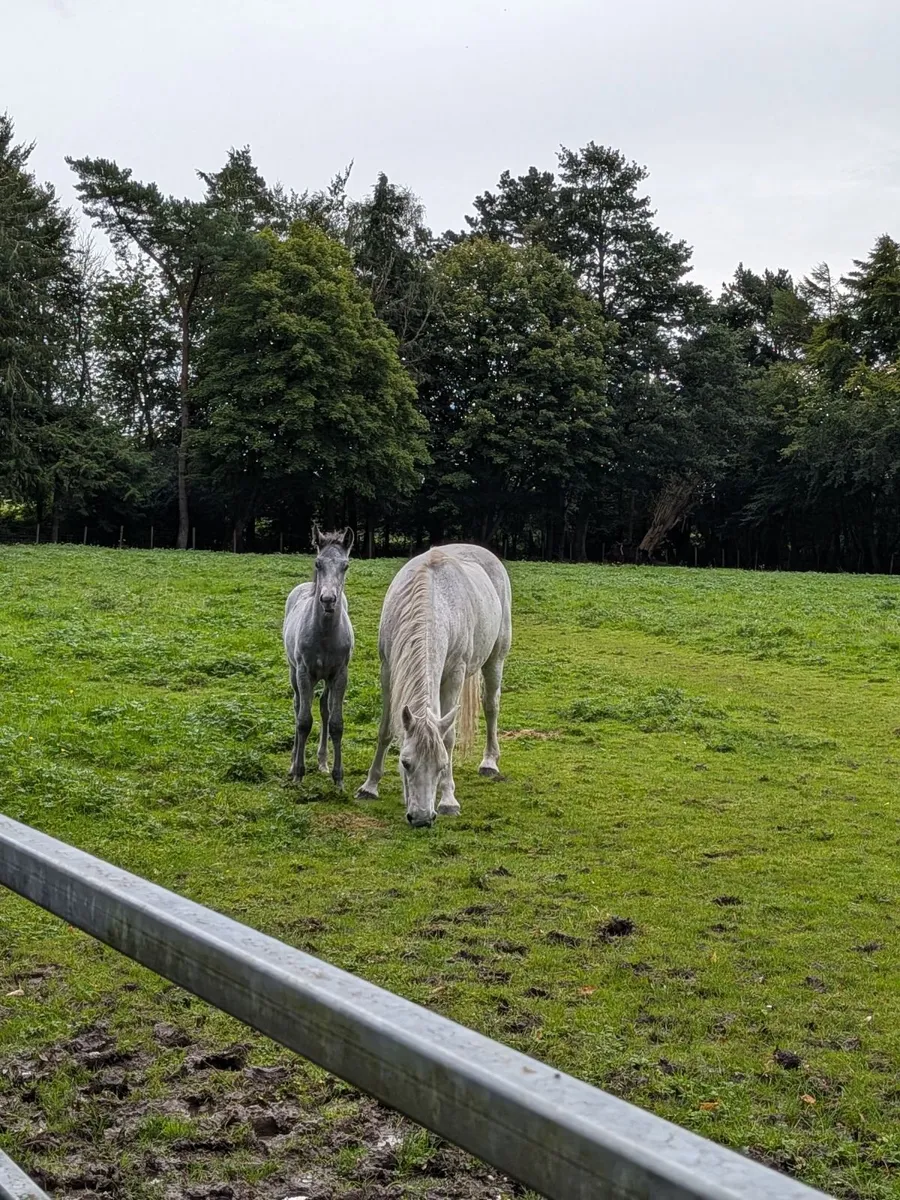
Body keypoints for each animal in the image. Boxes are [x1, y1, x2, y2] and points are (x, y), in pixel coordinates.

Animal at [283, 526, 355, 787]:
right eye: (317, 563)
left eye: (345, 565)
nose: (328, 599)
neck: (324, 635)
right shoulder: (304, 672)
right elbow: (304, 721)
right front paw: (298, 773)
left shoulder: (340, 674)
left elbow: (336, 722)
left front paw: (338, 778)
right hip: (294, 672)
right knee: (297, 707)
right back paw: (293, 762)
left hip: (326, 678)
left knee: (324, 707)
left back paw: (323, 761)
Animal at [356, 543, 512, 827]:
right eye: (405, 762)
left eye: (441, 765)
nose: (421, 818)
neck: (432, 603)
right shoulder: (388, 670)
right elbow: (385, 730)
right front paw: (370, 786)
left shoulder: (455, 674)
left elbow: (448, 738)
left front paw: (448, 799)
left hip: (495, 658)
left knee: (491, 706)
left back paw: (489, 762)